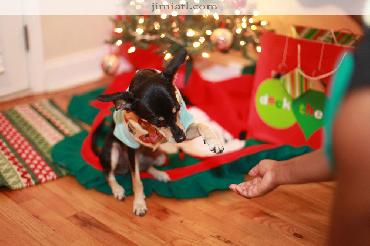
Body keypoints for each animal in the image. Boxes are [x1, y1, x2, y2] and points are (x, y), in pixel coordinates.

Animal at [96, 49, 223, 216]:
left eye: (178, 109)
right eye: (157, 121)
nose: (181, 139)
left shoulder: (182, 129)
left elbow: (203, 125)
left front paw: (214, 142)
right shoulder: (131, 148)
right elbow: (136, 180)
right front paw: (139, 203)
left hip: (160, 157)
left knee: (146, 167)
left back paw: (160, 174)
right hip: (113, 152)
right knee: (109, 173)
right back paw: (117, 189)